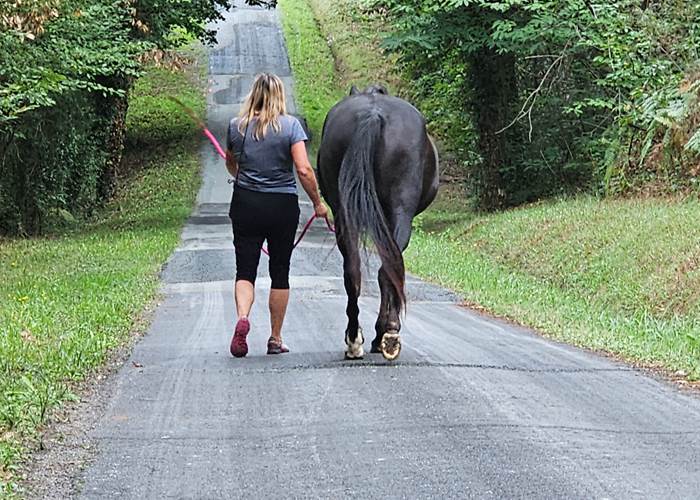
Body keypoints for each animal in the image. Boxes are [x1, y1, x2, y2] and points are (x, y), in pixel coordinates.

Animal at [317, 84, 439, 361]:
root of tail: (373, 115)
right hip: (397, 210)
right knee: (386, 269)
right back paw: (384, 335)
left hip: (350, 214)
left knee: (355, 271)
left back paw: (358, 339)